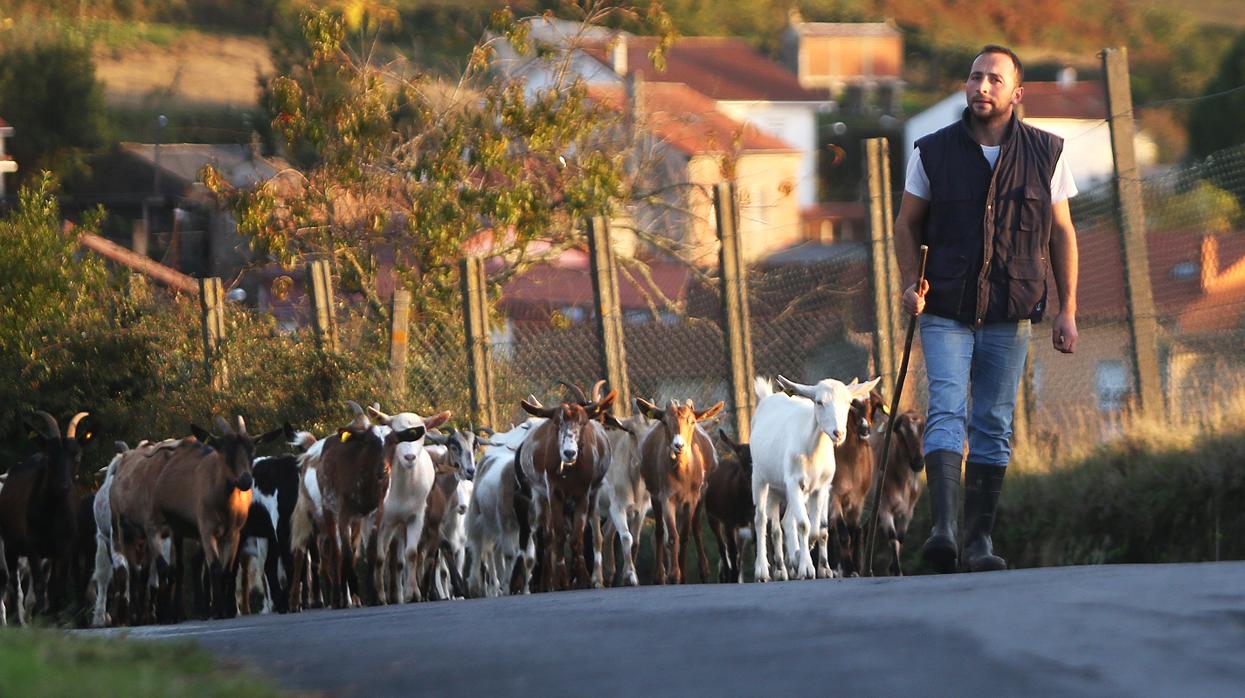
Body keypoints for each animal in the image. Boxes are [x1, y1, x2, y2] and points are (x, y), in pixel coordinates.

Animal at [637, 398, 727, 582]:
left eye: (692, 421)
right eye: (665, 422)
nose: (679, 445)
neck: (682, 476)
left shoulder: (691, 498)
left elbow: (685, 535)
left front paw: (683, 574)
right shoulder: (666, 496)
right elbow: (672, 536)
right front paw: (674, 574)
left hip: (702, 493)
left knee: (696, 528)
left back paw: (704, 571)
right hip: (654, 494)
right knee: (659, 531)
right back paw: (659, 576)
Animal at [742, 373, 881, 579]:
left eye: (848, 402)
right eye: (819, 402)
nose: (838, 433)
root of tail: (768, 398)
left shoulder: (822, 488)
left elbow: (817, 529)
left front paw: (807, 560)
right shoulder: (793, 482)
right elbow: (803, 525)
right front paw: (806, 568)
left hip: (784, 488)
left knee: (784, 522)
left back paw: (786, 565)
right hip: (759, 476)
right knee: (760, 519)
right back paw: (763, 571)